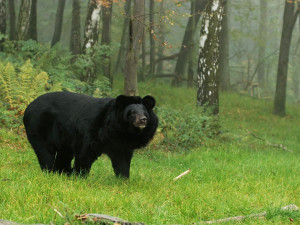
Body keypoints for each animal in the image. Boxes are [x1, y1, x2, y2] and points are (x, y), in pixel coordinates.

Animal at [22, 91, 159, 178]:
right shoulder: (91, 131)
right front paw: (80, 176)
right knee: (45, 151)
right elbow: (84, 153)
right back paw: (51, 171)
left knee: (63, 154)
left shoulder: (122, 143)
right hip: (39, 127)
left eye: (145, 113)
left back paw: (63, 172)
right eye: (132, 113)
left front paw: (123, 179)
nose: (143, 120)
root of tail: (28, 107)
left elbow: (122, 160)